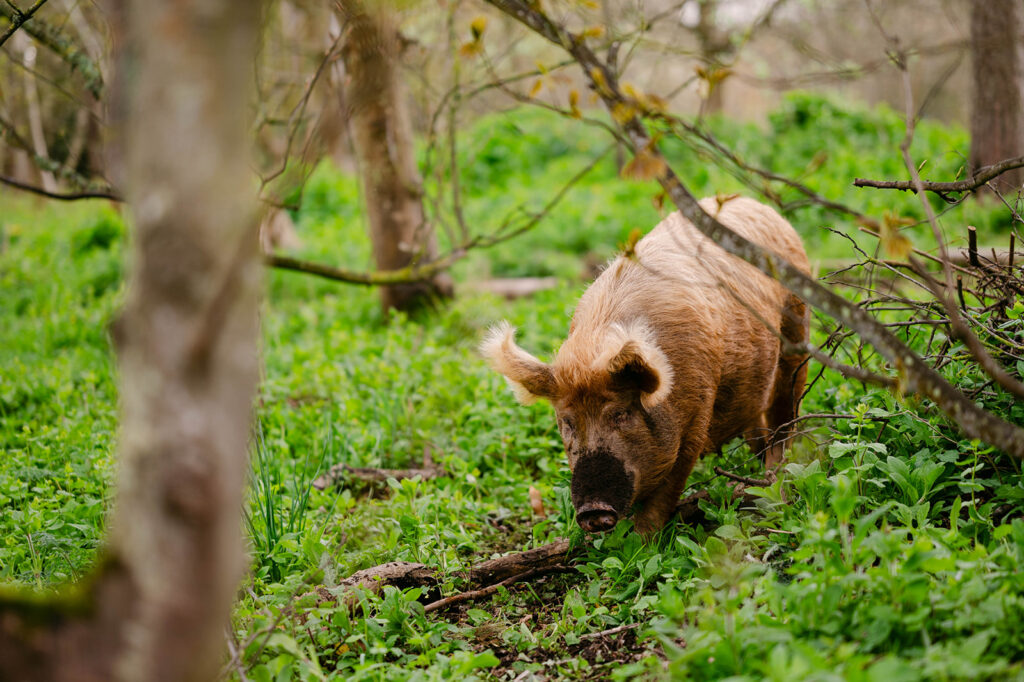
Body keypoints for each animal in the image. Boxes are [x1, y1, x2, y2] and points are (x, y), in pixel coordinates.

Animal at [481, 196, 810, 535]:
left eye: (621, 414)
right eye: (568, 422)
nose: (593, 511)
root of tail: (755, 204)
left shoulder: (697, 413)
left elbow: (667, 491)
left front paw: (641, 540)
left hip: (797, 330)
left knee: (786, 411)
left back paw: (775, 477)